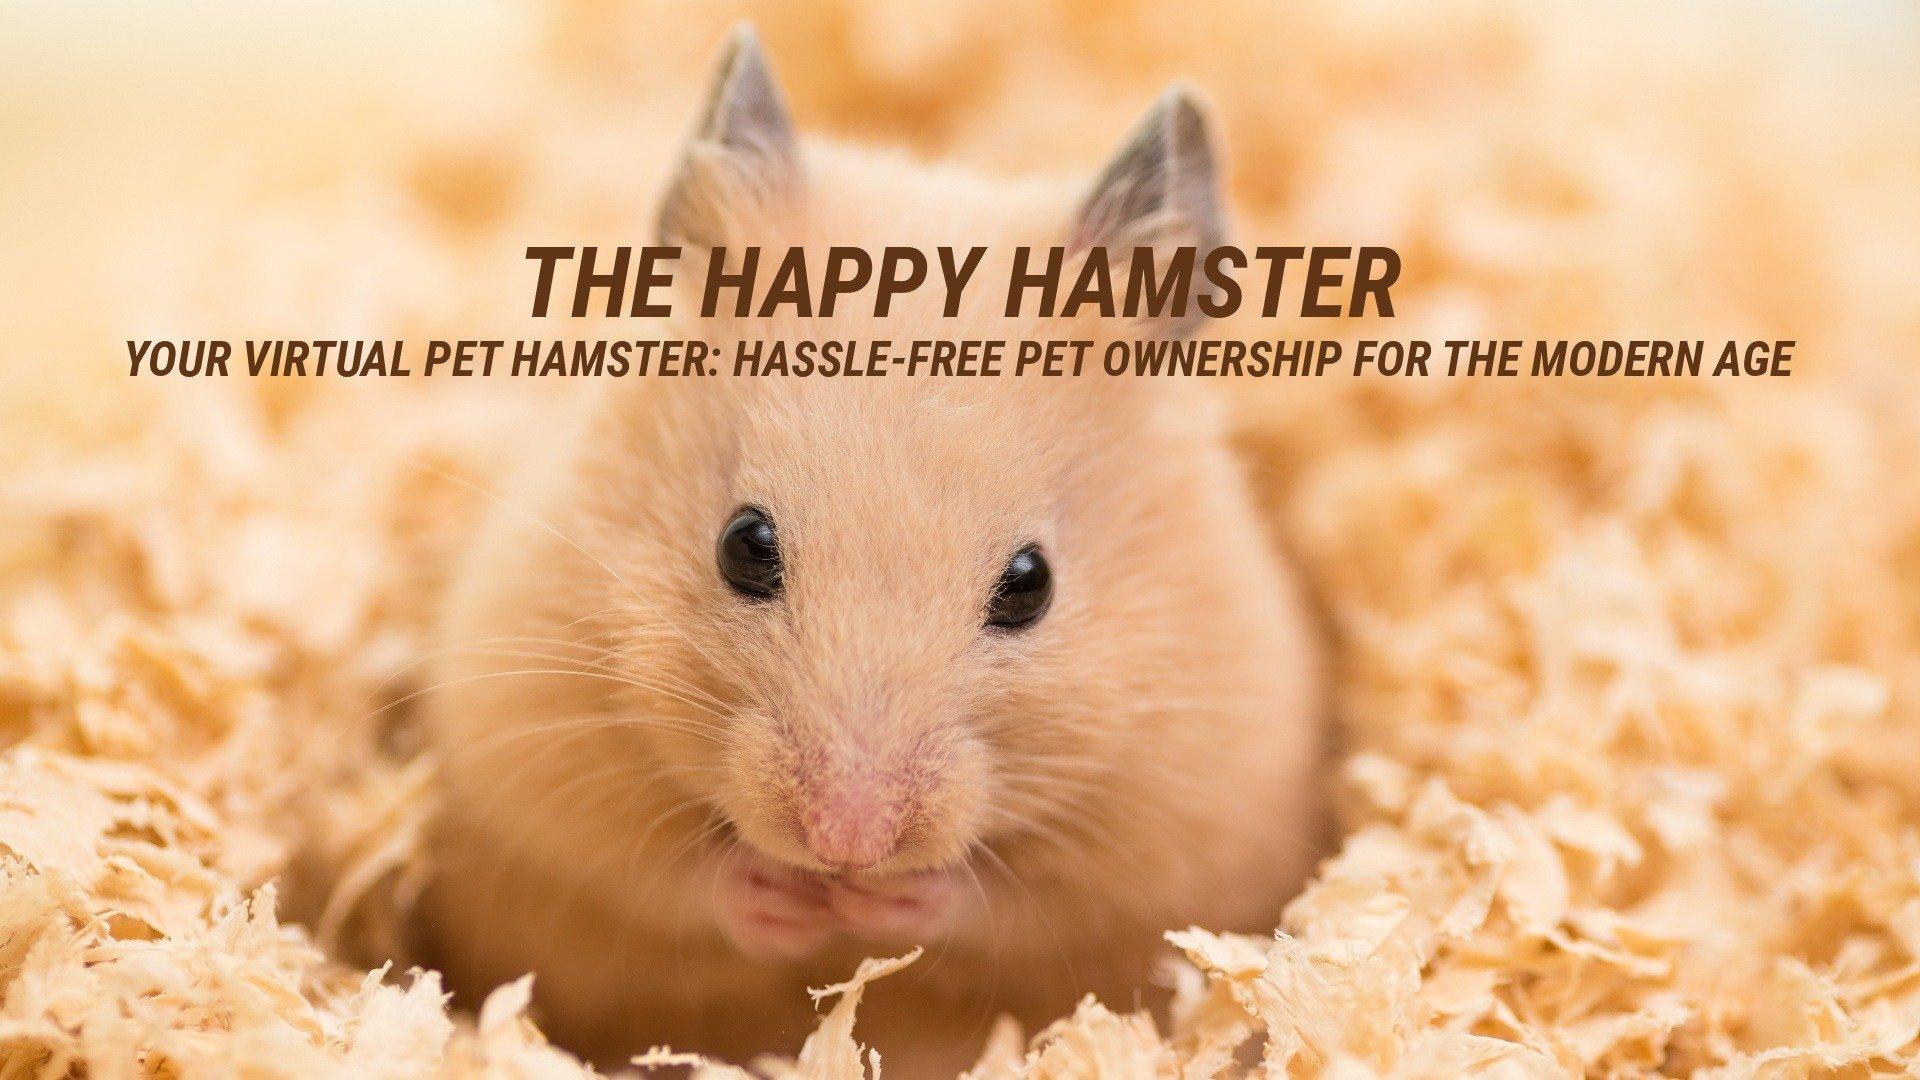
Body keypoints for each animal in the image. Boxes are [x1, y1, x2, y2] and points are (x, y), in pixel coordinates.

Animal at [416, 29, 1326, 1076]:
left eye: (1031, 585)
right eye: (744, 543)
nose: (843, 842)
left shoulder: (1187, 817)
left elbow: (1017, 906)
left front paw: (882, 901)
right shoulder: (531, 744)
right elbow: (657, 871)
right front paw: (789, 899)